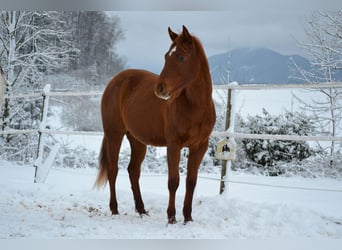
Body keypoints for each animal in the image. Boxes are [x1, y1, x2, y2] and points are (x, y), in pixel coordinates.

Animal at [95, 25, 215, 225]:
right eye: (166, 56)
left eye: (181, 57)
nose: (160, 88)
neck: (195, 107)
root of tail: (115, 81)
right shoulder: (173, 145)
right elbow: (173, 181)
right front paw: (171, 217)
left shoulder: (199, 146)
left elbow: (191, 182)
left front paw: (188, 217)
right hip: (114, 134)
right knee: (113, 170)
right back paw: (114, 209)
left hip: (137, 140)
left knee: (133, 171)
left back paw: (142, 209)